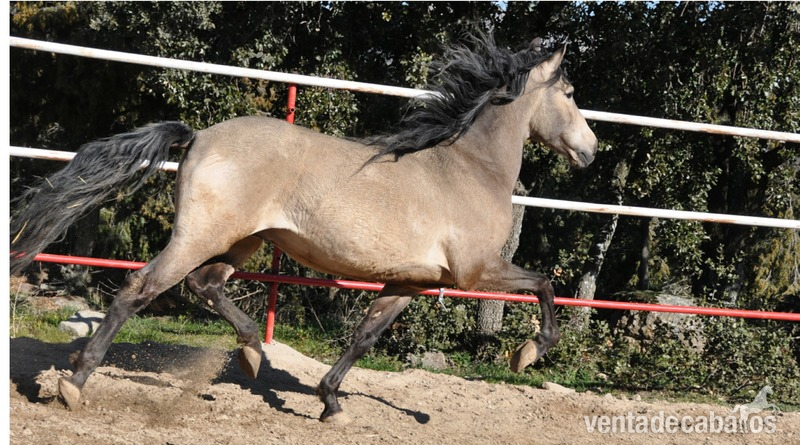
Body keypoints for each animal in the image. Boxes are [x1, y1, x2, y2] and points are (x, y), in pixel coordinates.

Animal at [10, 32, 597, 424]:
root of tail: (199, 136)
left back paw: (250, 354)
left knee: (205, 285)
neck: (471, 169)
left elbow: (364, 336)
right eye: (570, 93)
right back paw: (75, 383)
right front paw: (528, 353)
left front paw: (331, 402)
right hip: (201, 236)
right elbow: (545, 285)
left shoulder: (411, 281)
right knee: (141, 287)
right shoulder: (476, 272)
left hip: (241, 242)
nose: (591, 151)